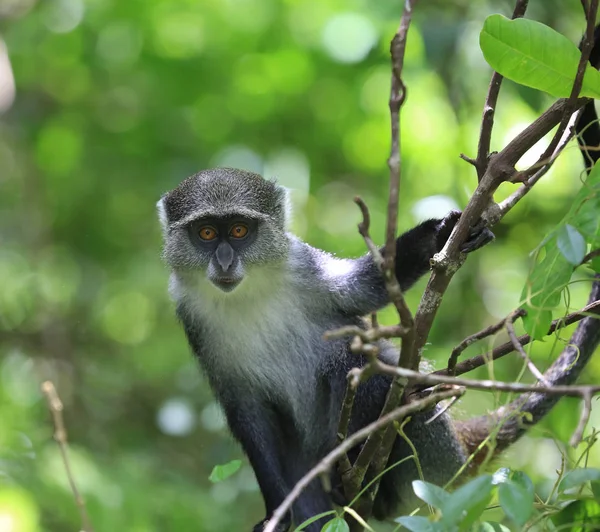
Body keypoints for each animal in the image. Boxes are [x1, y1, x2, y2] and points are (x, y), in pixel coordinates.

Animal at [157, 34, 600, 532]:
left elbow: (365, 288)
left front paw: (444, 233)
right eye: (205, 234)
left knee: (363, 369)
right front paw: (279, 514)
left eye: (238, 231)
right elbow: (251, 420)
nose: (225, 260)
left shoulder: (304, 268)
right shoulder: (194, 319)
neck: (248, 295)